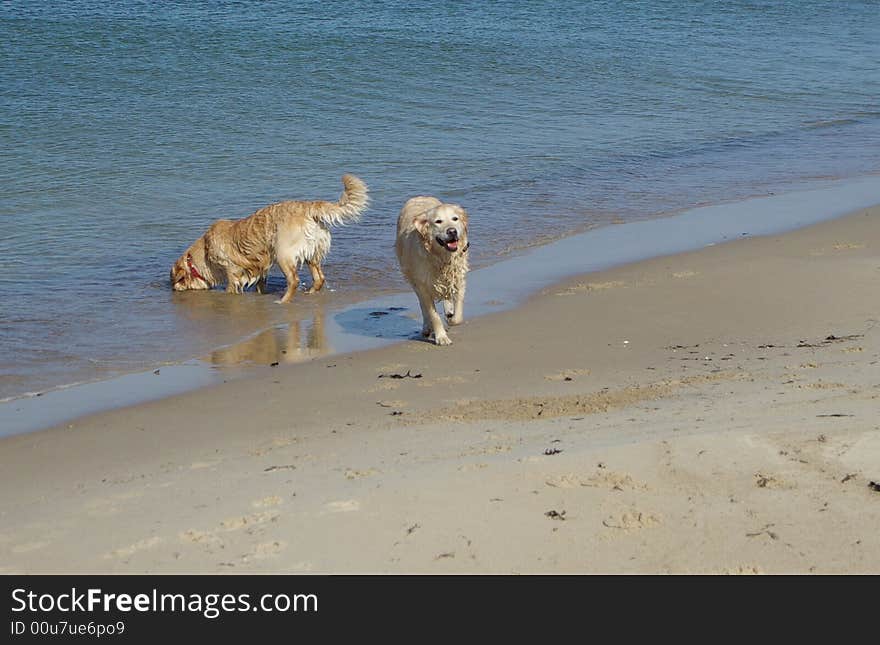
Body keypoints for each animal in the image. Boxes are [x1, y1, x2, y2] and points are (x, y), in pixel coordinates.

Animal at [172, 172, 368, 300]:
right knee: (319, 278)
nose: (172, 290)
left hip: (283, 253)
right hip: (312, 251)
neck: (205, 250)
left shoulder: (231, 270)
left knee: (294, 280)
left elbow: (231, 287)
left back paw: (283, 301)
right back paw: (310, 293)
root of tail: (308, 207)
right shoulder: (259, 266)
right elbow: (260, 283)